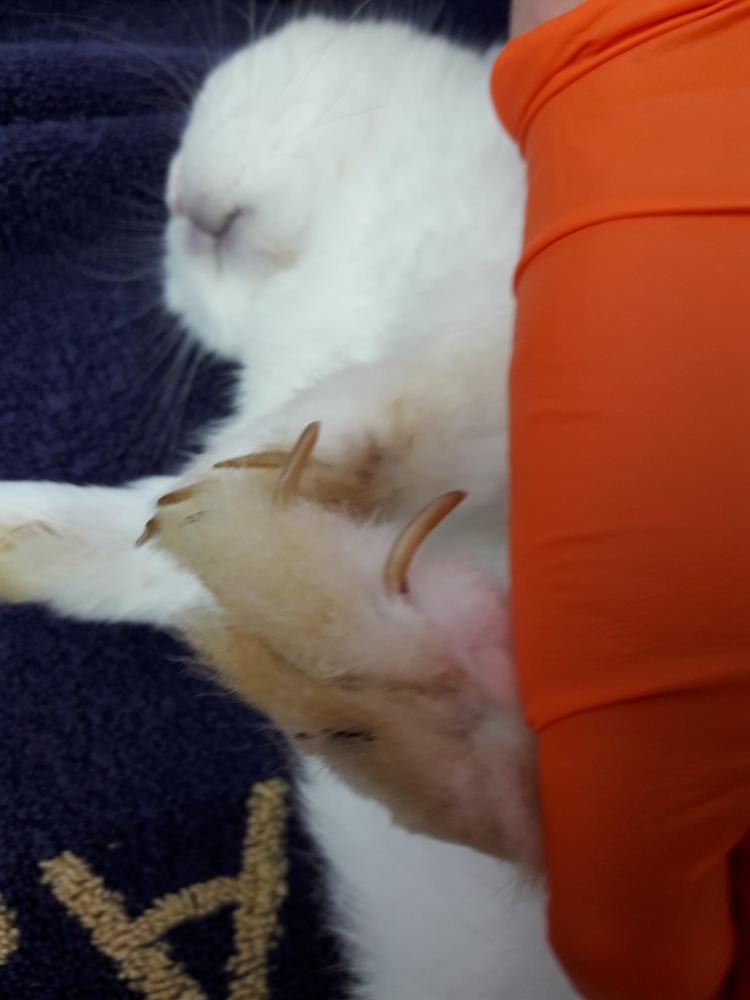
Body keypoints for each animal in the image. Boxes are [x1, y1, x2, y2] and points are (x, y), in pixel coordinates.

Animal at [0, 16, 577, 999]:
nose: (175, 201)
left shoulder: (490, 323)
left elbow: (423, 393)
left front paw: (292, 447)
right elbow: (142, 538)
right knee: (503, 798)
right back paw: (373, 669)